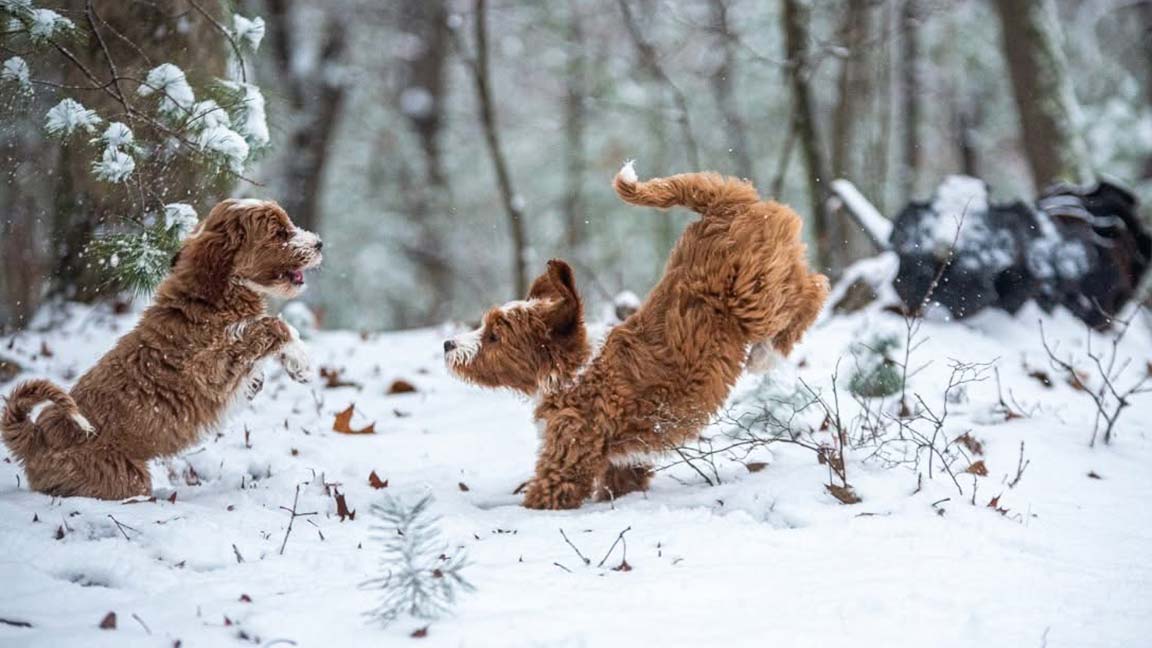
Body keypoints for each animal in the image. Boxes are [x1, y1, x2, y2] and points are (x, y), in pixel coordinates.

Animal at [2, 199, 324, 495]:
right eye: (280, 233)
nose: (319, 243)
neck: (215, 293)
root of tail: (35, 438)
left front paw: (282, 371)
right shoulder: (208, 369)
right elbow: (269, 326)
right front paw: (301, 360)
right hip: (122, 476)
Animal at [442, 162, 829, 509]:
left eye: (495, 336)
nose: (448, 344)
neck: (576, 370)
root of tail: (724, 205)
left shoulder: (568, 454)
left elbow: (544, 495)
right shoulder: (624, 463)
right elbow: (623, 482)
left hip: (752, 291)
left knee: (812, 288)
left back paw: (767, 353)